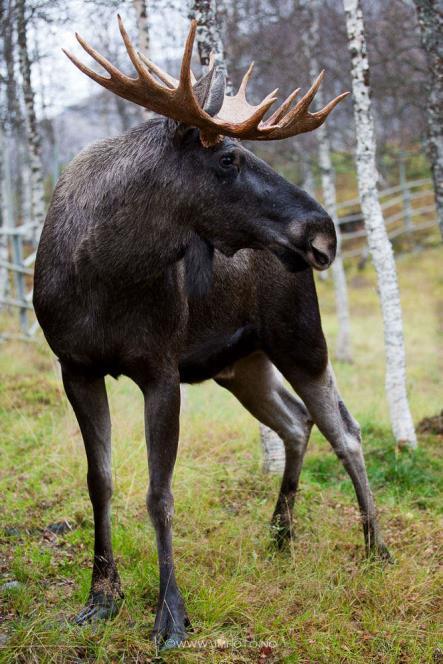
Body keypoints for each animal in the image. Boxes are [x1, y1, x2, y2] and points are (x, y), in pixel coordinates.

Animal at [32, 15, 392, 648]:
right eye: (227, 158)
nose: (323, 232)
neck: (101, 272)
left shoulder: (160, 368)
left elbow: (159, 494)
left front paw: (170, 614)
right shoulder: (75, 366)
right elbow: (99, 480)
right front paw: (100, 597)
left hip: (301, 339)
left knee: (343, 431)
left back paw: (375, 546)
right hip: (241, 364)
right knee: (295, 423)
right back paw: (280, 533)